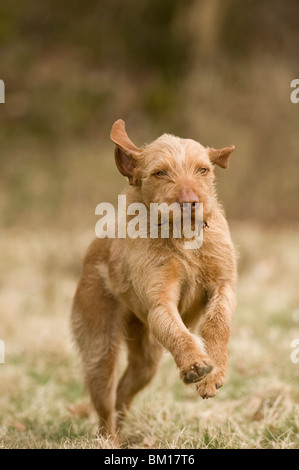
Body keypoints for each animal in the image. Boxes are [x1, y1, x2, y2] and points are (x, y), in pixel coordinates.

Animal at [71, 119, 238, 438]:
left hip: (146, 359)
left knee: (124, 393)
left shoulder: (222, 286)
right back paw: (109, 440)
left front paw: (213, 373)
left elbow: (218, 323)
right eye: (161, 172)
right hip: (102, 351)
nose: (190, 202)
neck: (183, 239)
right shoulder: (161, 300)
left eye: (203, 170)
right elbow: (179, 333)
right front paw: (194, 363)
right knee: (106, 403)